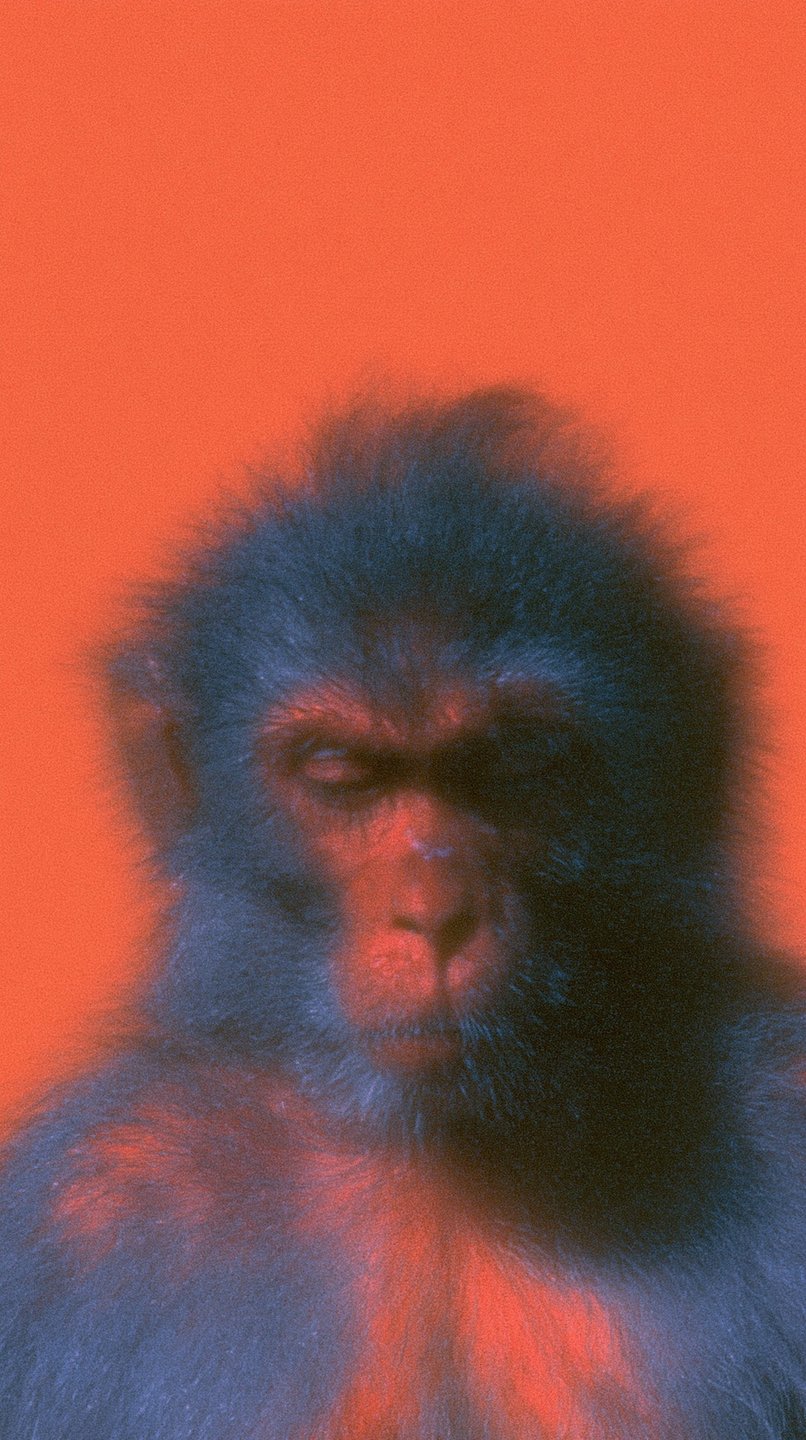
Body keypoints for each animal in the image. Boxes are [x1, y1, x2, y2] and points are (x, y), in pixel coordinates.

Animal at [0, 389, 803, 1439]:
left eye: (514, 759)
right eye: (340, 772)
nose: (434, 913)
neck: (443, 1159)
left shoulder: (783, 1109)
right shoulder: (73, 1226)